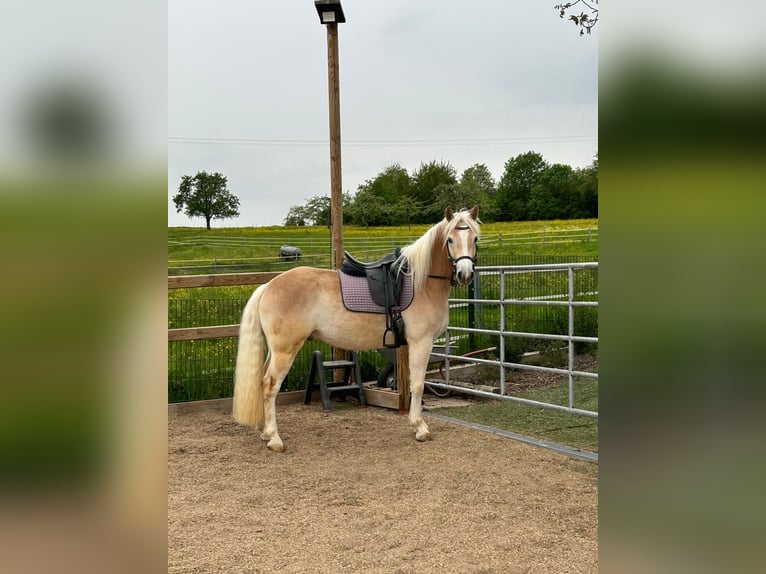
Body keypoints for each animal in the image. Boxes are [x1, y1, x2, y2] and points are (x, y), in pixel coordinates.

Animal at [232, 206, 480, 452]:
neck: (421, 283)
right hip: (285, 350)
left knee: (262, 381)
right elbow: (418, 385)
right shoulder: (421, 342)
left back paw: (266, 432)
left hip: (275, 351)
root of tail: (268, 285)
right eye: (450, 239)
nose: (465, 273)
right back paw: (275, 438)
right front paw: (420, 428)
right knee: (269, 386)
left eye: (475, 238)